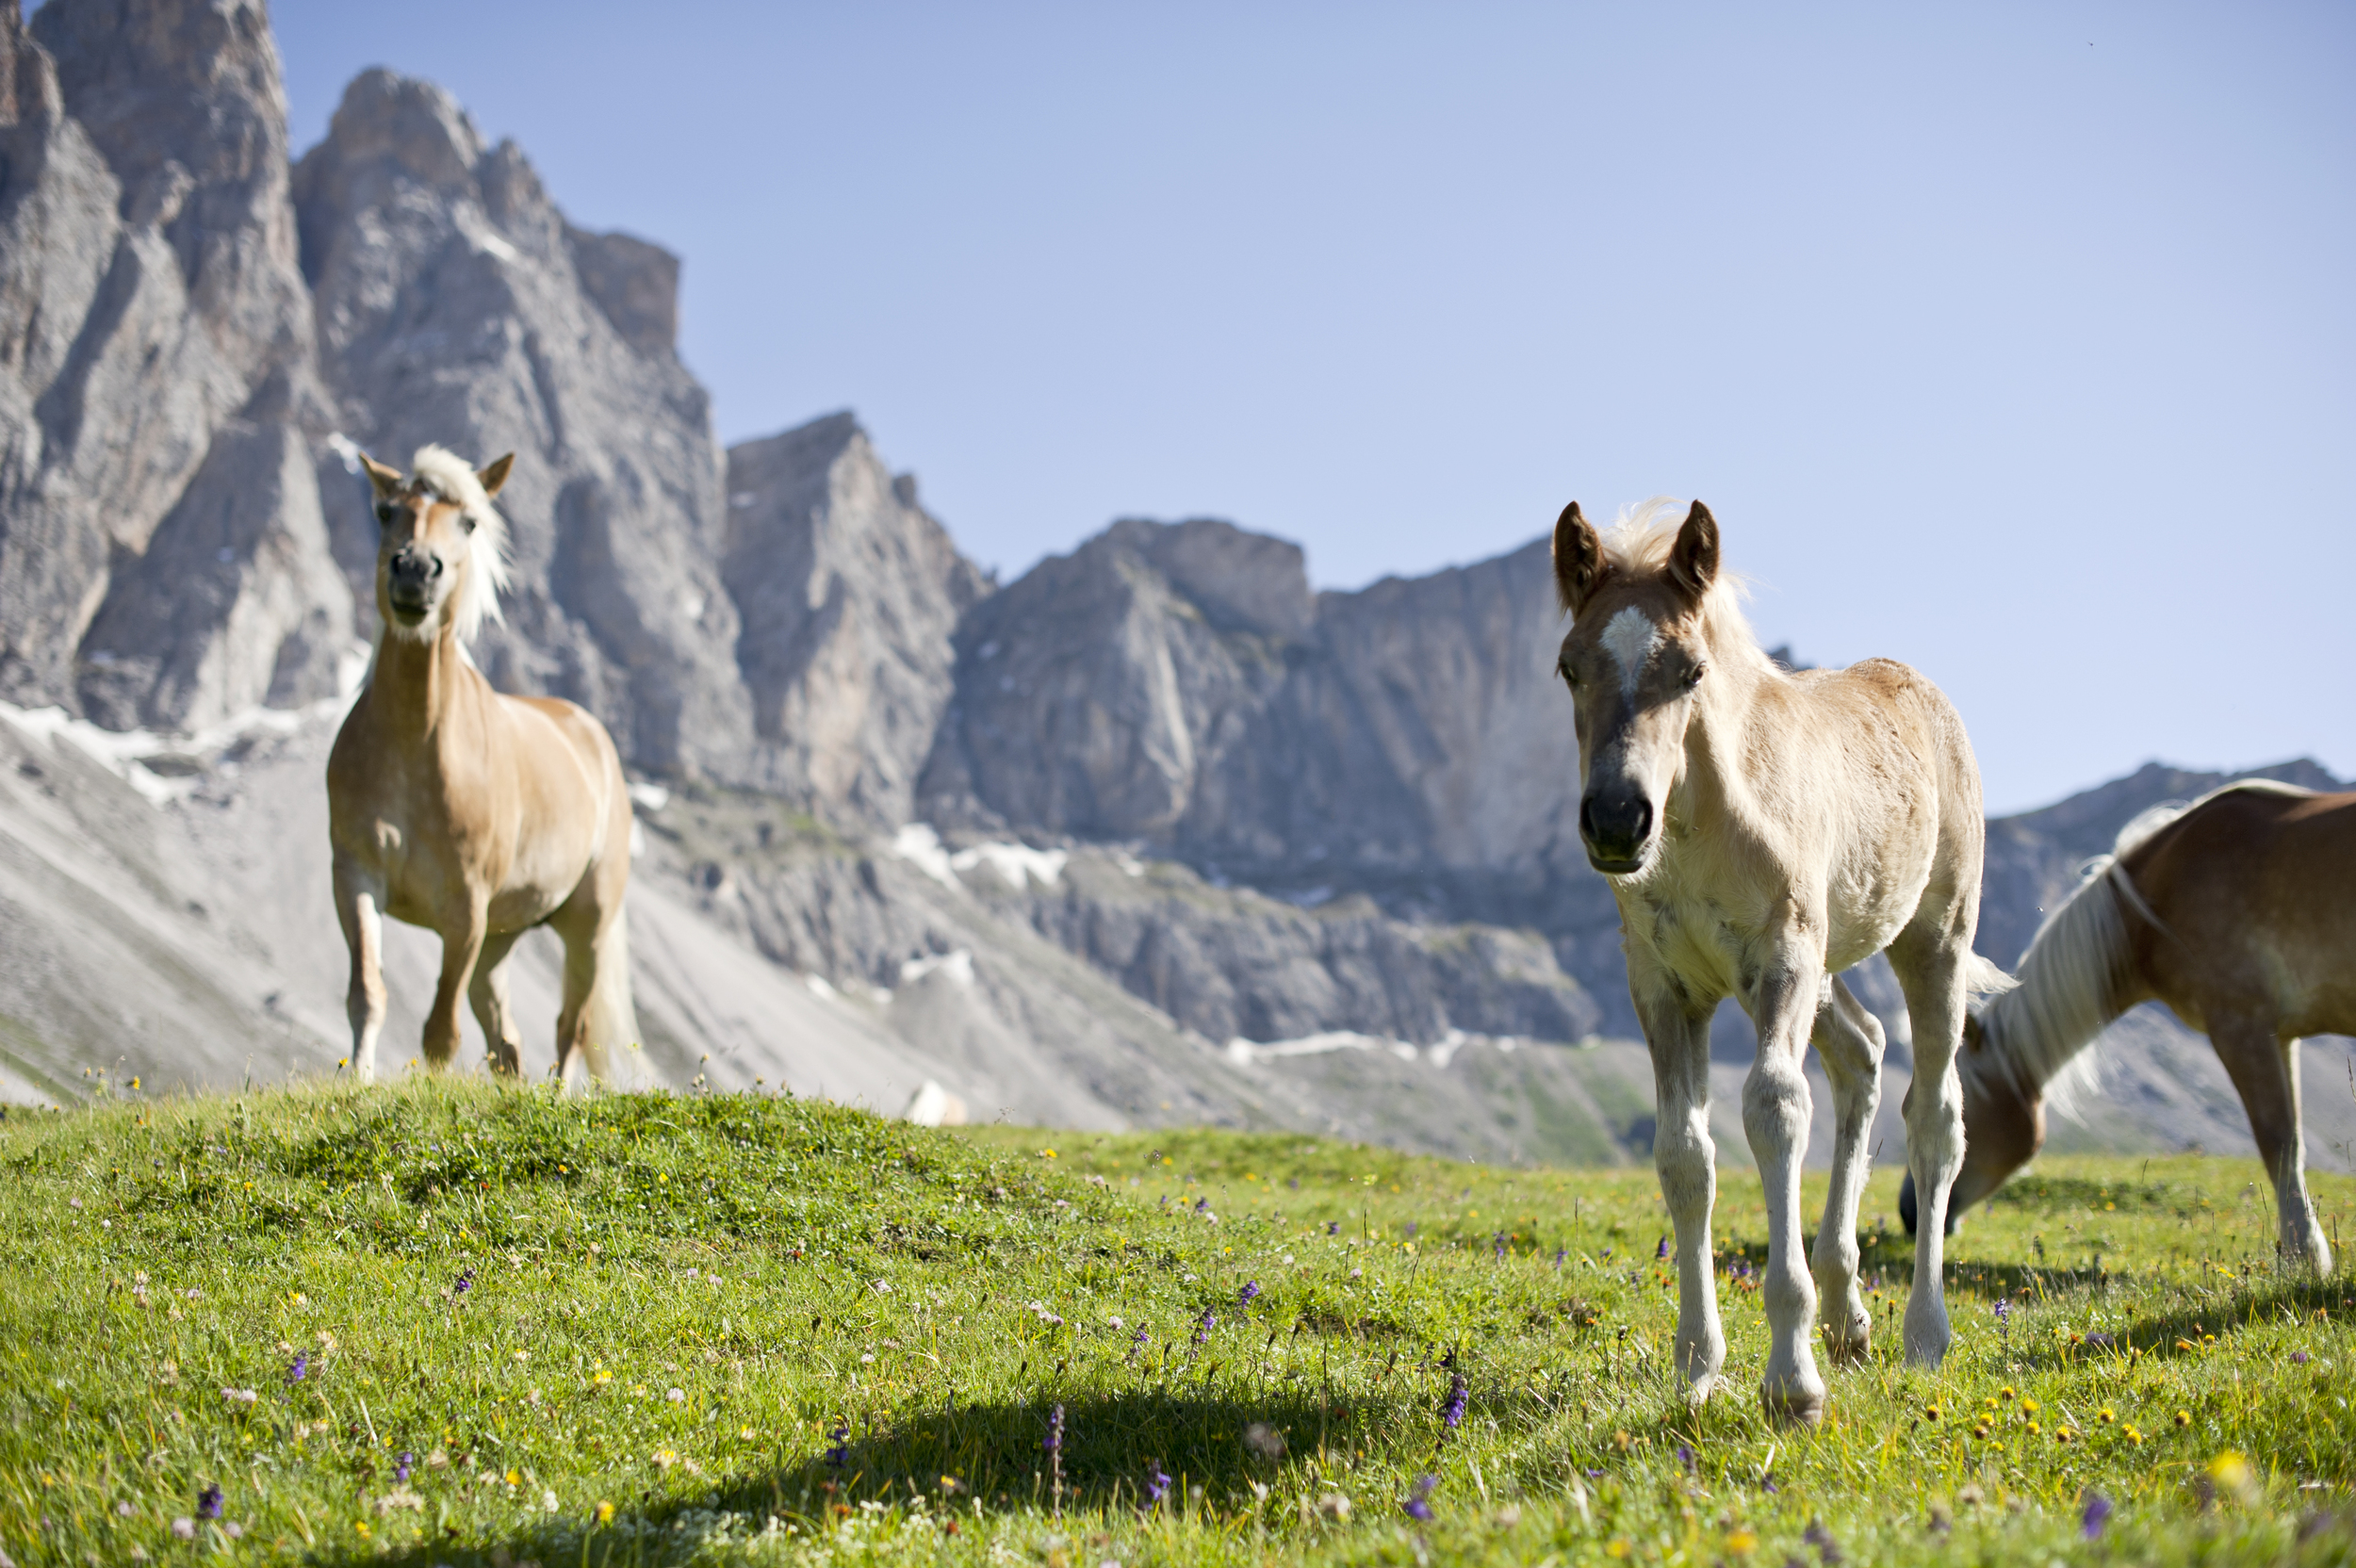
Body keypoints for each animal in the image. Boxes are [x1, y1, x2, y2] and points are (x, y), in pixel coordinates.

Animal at [326, 445, 638, 1085]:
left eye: (469, 522)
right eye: (385, 510)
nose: (415, 572)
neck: (415, 748)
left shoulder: (466, 910)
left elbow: (441, 1030)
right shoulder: (356, 877)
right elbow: (367, 992)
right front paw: (358, 1081)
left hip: (585, 927)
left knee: (570, 1028)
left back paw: (557, 1095)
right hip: (503, 935)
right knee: (506, 1038)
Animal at [1549, 497, 2008, 1424]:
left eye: (1691, 670)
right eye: (1569, 667)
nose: (1616, 819)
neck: (1703, 829)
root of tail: (1919, 687)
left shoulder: (1784, 958)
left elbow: (1776, 1110)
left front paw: (1791, 1379)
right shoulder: (1663, 985)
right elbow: (1684, 1153)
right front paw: (1699, 1367)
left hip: (1931, 940)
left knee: (1936, 1117)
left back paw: (1923, 1335)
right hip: (1826, 967)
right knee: (1863, 1053)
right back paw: (1847, 1312)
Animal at [1901, 780, 2355, 1273]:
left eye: (1965, 1107)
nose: (1909, 1212)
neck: (2156, 903)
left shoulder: (2241, 1025)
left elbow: (2278, 1141)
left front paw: (2305, 1257)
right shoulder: (2281, 1035)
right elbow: (2292, 1143)